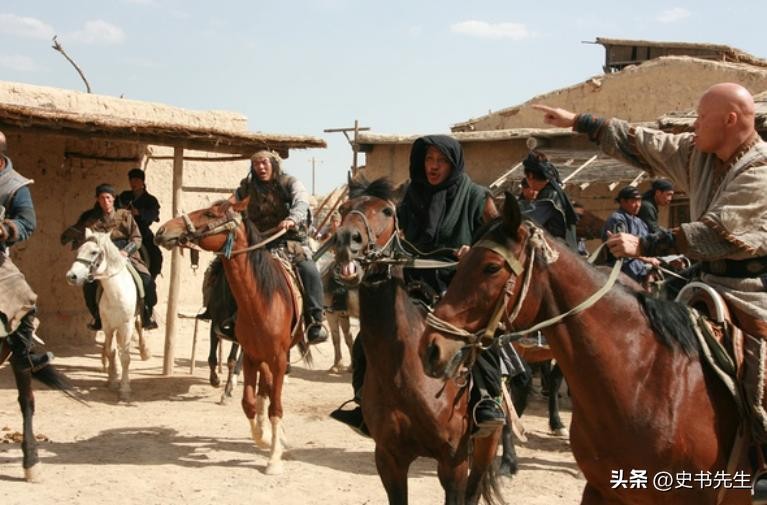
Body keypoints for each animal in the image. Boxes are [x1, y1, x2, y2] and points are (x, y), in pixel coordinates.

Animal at [65, 228, 150, 401]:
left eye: (93, 252)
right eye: (79, 250)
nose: (71, 276)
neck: (115, 292)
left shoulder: (126, 325)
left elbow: (125, 356)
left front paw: (124, 389)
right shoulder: (108, 326)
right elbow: (111, 352)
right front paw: (113, 380)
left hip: (134, 320)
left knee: (139, 326)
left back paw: (145, 352)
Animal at [154, 199, 307, 475]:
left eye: (209, 213)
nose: (162, 230)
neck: (262, 301)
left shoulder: (279, 358)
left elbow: (276, 406)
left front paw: (274, 458)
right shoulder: (251, 355)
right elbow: (248, 402)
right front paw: (264, 438)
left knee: (272, 391)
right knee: (265, 387)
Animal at [333, 177, 502, 505]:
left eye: (387, 211)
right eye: (344, 209)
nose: (346, 240)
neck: (405, 372)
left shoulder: (454, 462)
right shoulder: (389, 459)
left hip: (486, 445)